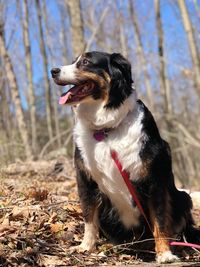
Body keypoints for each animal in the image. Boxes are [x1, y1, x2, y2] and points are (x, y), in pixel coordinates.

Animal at [51, 51, 198, 264]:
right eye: (73, 61)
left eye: (85, 62)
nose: (53, 71)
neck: (106, 129)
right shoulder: (85, 179)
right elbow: (89, 218)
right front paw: (86, 247)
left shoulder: (154, 182)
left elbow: (160, 220)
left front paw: (164, 254)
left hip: (184, 197)